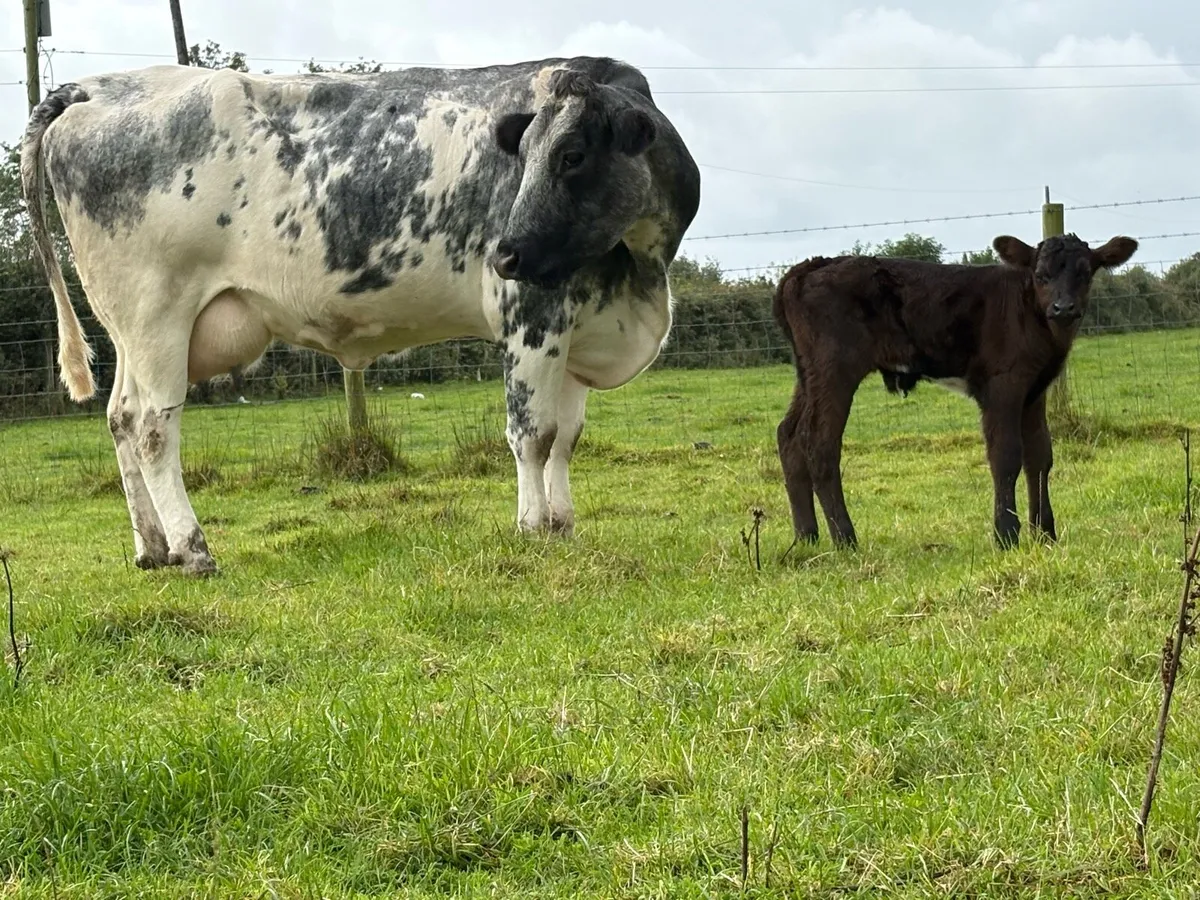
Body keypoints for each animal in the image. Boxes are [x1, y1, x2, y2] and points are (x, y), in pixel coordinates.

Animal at [20, 56, 701, 577]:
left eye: (573, 155)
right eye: (529, 153)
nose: (506, 253)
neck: (639, 276)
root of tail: (96, 86)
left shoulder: (581, 331)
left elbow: (567, 437)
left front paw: (563, 524)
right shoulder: (531, 317)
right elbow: (532, 435)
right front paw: (533, 527)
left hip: (128, 329)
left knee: (118, 418)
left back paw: (152, 548)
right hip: (156, 312)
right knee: (151, 428)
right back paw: (192, 549)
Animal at [772, 232, 1138, 550]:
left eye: (1085, 273)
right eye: (1040, 274)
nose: (1064, 308)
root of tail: (812, 265)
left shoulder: (1035, 390)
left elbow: (1039, 457)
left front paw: (1045, 534)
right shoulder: (1002, 385)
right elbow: (1006, 455)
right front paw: (1006, 535)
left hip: (809, 372)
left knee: (789, 434)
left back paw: (806, 537)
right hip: (835, 368)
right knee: (819, 442)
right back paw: (845, 539)